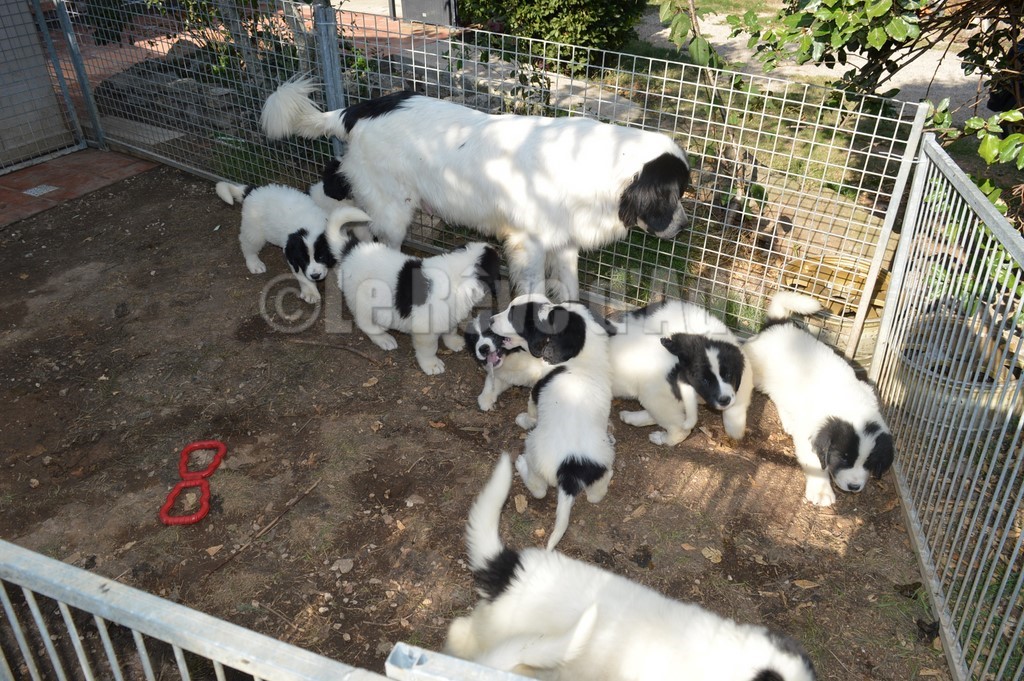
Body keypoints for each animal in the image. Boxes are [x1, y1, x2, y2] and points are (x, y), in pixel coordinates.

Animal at [261, 79, 691, 300]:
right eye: (674, 194)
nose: (684, 226)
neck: (591, 165)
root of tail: (359, 109)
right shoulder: (530, 243)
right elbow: (534, 287)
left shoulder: (563, 240)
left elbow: (569, 286)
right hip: (396, 208)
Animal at [326, 210, 501, 375]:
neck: (458, 272)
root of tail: (351, 252)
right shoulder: (425, 329)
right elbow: (429, 349)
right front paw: (432, 365)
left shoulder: (449, 313)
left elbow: (450, 329)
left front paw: (454, 341)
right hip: (365, 304)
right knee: (367, 325)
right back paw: (384, 339)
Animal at [489, 294, 615, 550]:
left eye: (512, 314)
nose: (490, 320)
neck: (583, 359)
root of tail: (571, 467)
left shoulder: (536, 391)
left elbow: (531, 408)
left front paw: (523, 419)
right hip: (602, 460)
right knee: (596, 495)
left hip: (534, 449)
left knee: (538, 489)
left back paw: (521, 465)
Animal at [743, 291, 895, 507]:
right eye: (844, 457)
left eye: (869, 462)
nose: (855, 487)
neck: (850, 403)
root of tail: (779, 323)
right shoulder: (810, 433)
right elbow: (815, 463)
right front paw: (822, 491)